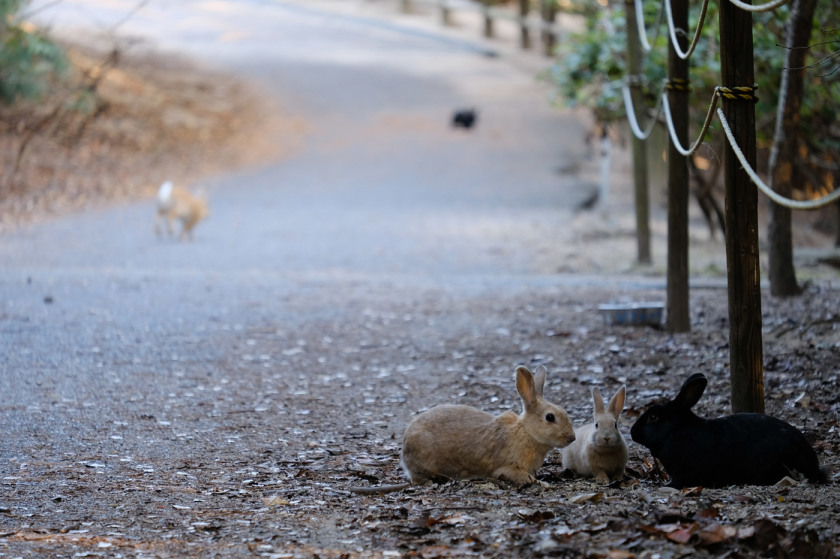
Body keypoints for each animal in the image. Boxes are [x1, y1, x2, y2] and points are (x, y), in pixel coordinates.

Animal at [402, 366, 576, 488]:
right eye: (550, 417)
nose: (572, 438)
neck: (526, 432)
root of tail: (405, 449)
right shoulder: (509, 468)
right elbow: (525, 478)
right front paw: (545, 484)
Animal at [632, 376, 828, 490]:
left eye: (653, 418)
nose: (633, 432)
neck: (675, 430)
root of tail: (813, 464)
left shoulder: (683, 472)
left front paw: (667, 486)